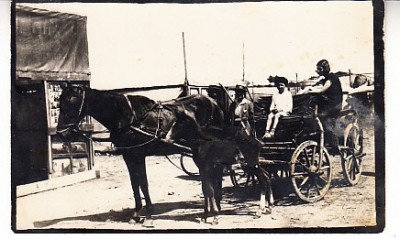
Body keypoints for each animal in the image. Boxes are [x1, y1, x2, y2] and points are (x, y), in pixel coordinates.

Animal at [56, 84, 225, 226]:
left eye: (72, 102)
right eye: (60, 103)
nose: (60, 132)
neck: (125, 116)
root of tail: (213, 102)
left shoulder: (137, 154)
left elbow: (142, 182)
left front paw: (145, 213)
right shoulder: (129, 155)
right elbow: (137, 183)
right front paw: (139, 212)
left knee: (213, 177)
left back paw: (213, 212)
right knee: (208, 178)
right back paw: (209, 211)